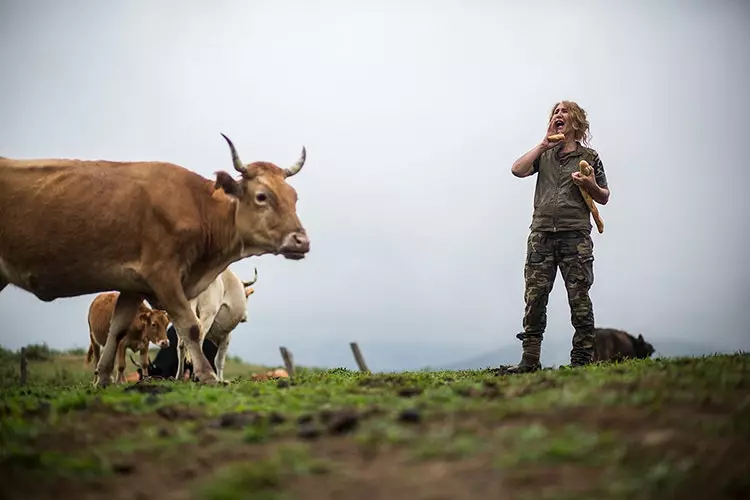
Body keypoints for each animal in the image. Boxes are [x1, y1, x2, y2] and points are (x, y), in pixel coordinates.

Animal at [0, 134, 310, 386]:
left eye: (294, 197)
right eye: (262, 196)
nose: (301, 241)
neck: (198, 207)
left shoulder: (132, 285)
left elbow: (116, 330)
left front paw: (102, 379)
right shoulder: (163, 276)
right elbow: (191, 328)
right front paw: (207, 376)